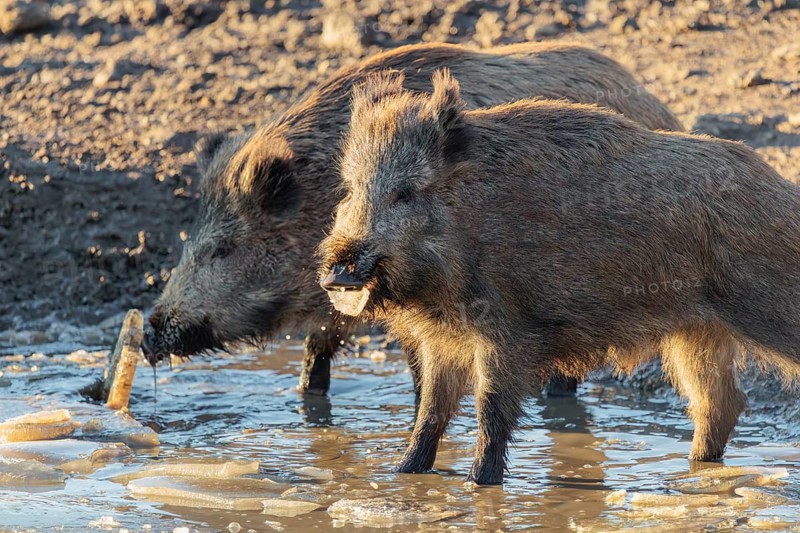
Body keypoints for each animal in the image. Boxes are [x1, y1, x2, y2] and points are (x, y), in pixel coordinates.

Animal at [142, 41, 683, 398]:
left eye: (224, 248)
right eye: (190, 240)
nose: (148, 334)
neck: (322, 198)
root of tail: (659, 108)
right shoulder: (337, 300)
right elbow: (317, 353)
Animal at [318, 69, 800, 484]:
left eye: (406, 192)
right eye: (350, 189)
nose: (338, 272)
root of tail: (781, 188)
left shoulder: (509, 332)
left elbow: (490, 410)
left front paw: (480, 484)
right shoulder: (442, 342)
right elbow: (430, 414)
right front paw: (403, 474)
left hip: (767, 305)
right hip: (696, 331)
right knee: (719, 403)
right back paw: (696, 468)